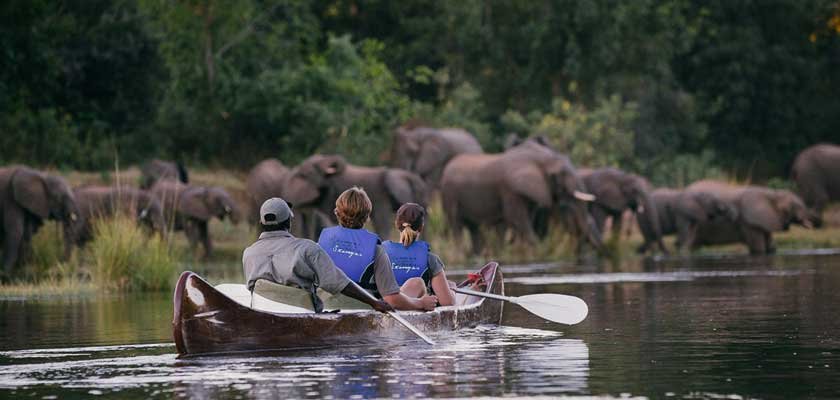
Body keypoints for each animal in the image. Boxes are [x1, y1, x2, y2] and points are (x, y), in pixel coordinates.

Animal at [436, 139, 600, 255]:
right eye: (561, 174)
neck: (541, 158)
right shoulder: (510, 189)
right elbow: (517, 218)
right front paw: (536, 252)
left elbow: (524, 218)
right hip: (449, 194)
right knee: (456, 225)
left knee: (473, 229)